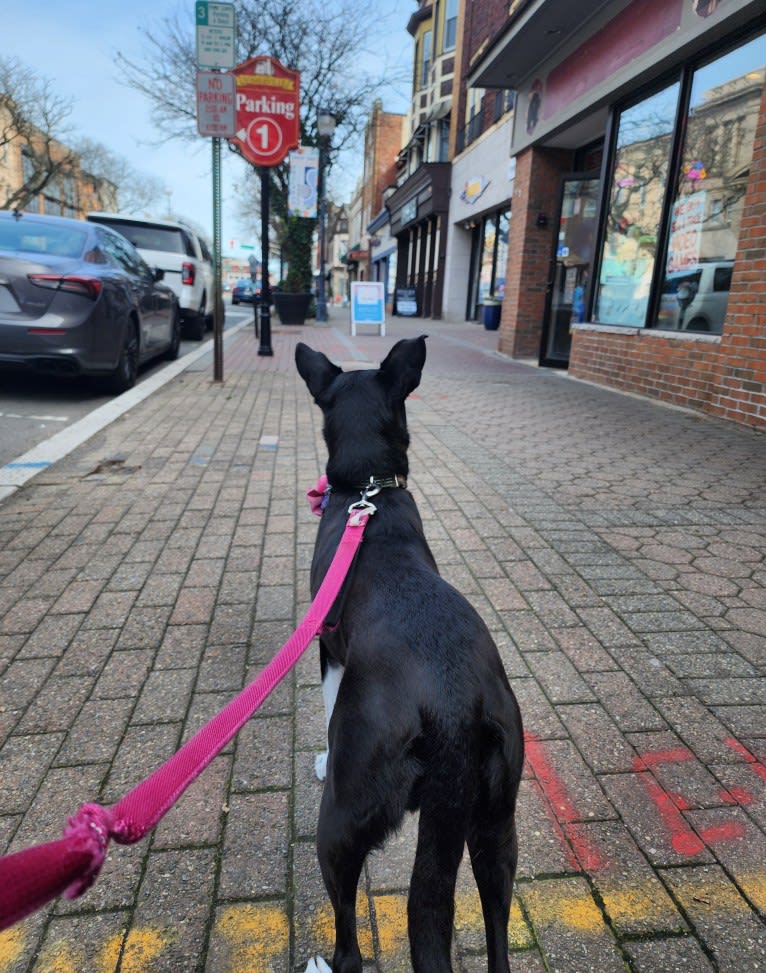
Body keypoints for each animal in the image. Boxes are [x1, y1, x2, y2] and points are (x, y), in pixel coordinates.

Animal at [296, 336, 524, 972]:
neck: (368, 492)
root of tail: (453, 710)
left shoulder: (327, 646)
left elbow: (327, 706)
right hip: (497, 821)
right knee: (498, 933)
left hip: (343, 815)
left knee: (349, 941)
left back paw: (323, 963)